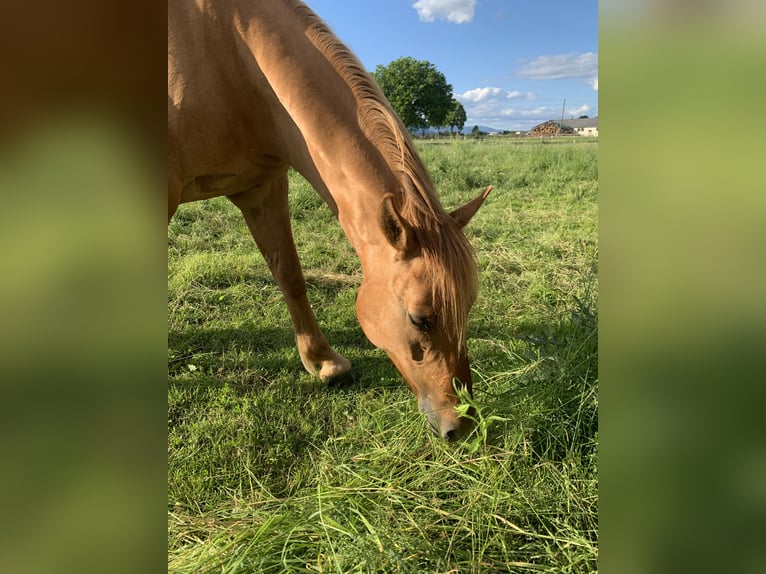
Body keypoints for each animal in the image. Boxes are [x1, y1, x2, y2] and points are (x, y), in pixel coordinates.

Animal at [168, 0, 491, 441]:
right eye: (420, 319)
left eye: (469, 304)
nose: (462, 423)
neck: (230, 55)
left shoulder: (262, 188)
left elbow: (289, 274)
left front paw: (324, 363)